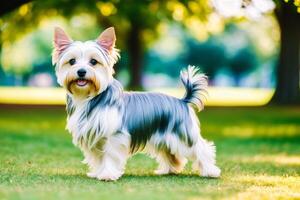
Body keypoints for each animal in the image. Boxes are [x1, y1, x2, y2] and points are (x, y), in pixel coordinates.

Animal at [52, 26, 220, 181]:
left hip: (182, 136)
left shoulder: (114, 136)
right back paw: (169, 170)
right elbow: (98, 158)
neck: (89, 98)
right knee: (170, 153)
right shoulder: (93, 137)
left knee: (202, 149)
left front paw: (107, 174)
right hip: (163, 137)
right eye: (72, 61)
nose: (81, 71)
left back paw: (211, 171)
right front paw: (98, 173)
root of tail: (182, 100)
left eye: (93, 62)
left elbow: (109, 157)